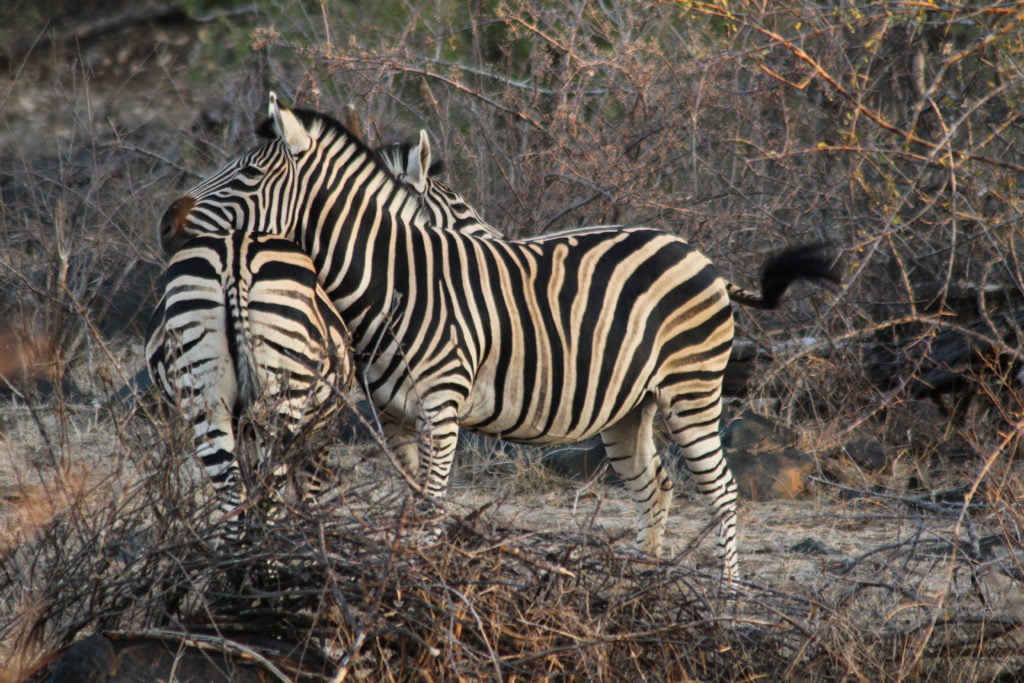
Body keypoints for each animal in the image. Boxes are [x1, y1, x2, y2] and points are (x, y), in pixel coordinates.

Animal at [146, 229, 354, 532]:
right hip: (280, 398)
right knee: (270, 495)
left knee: (234, 496)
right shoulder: (322, 427)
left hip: (206, 394)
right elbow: (309, 494)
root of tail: (237, 257)